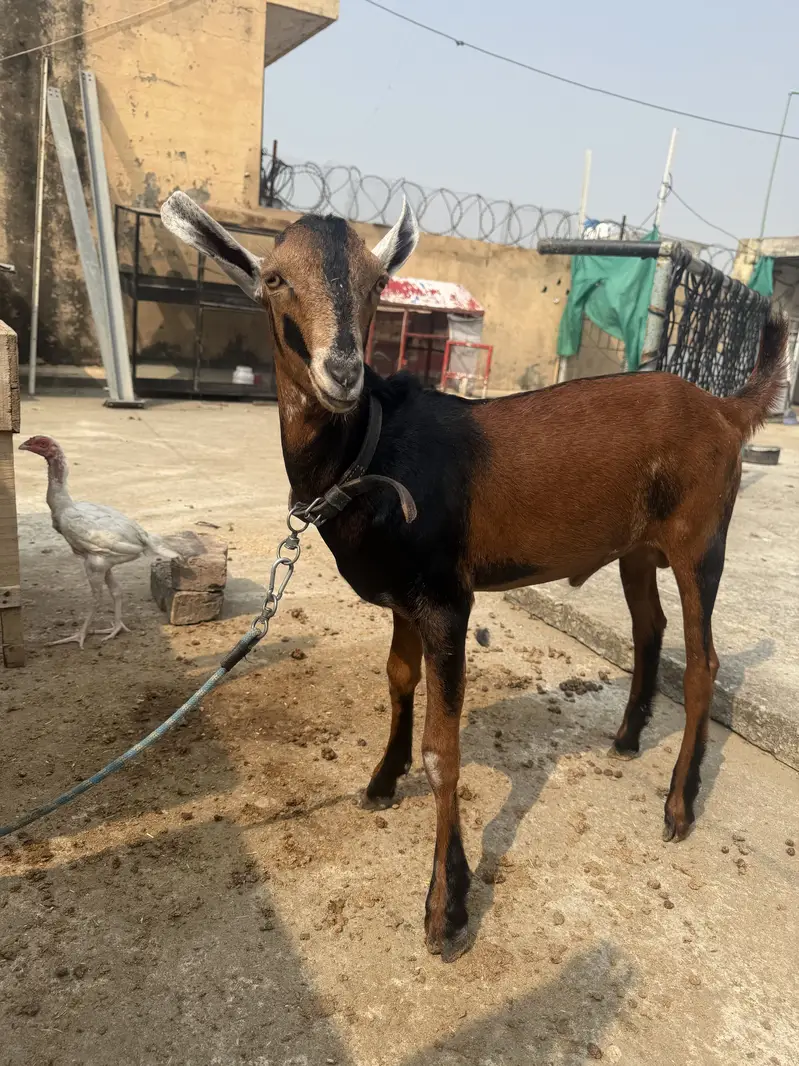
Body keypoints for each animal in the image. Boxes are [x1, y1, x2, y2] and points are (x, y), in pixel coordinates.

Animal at [161, 191, 786, 962]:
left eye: (378, 284)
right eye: (274, 279)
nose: (343, 371)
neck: (371, 451)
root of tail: (724, 409)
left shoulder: (444, 599)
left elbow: (443, 750)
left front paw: (446, 908)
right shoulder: (403, 596)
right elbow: (397, 679)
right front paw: (380, 780)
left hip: (701, 538)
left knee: (703, 662)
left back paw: (677, 805)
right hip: (637, 545)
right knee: (650, 628)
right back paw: (625, 737)